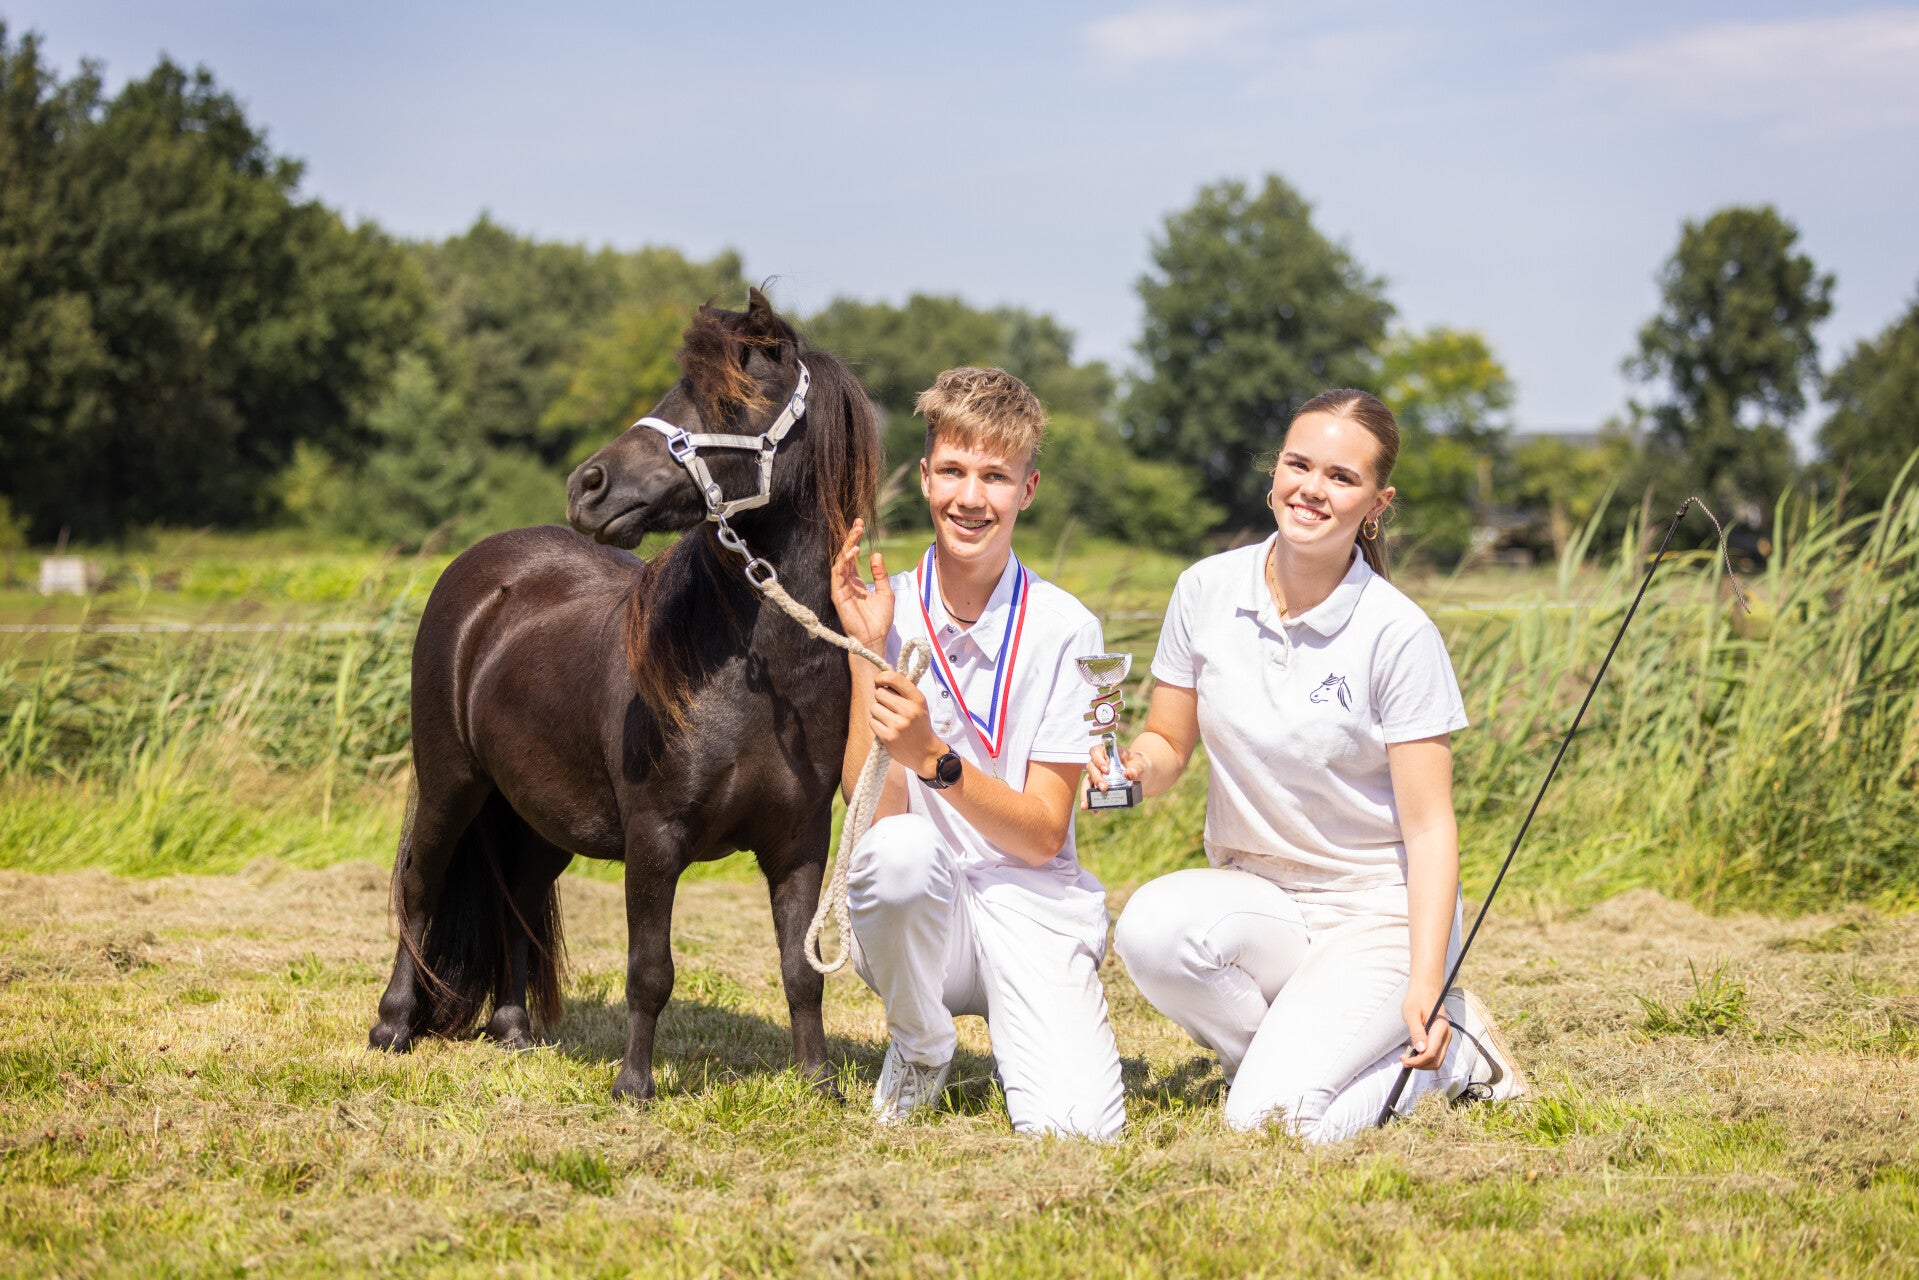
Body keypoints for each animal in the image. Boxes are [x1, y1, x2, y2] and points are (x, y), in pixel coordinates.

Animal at [367, 290, 881, 1101]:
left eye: (730, 401)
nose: (588, 486)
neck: (757, 683)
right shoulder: (655, 839)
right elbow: (650, 971)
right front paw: (633, 1087)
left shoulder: (800, 843)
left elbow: (801, 970)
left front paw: (818, 1083)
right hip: (452, 782)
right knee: (421, 885)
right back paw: (391, 1026)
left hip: (538, 815)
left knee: (516, 896)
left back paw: (512, 1031)